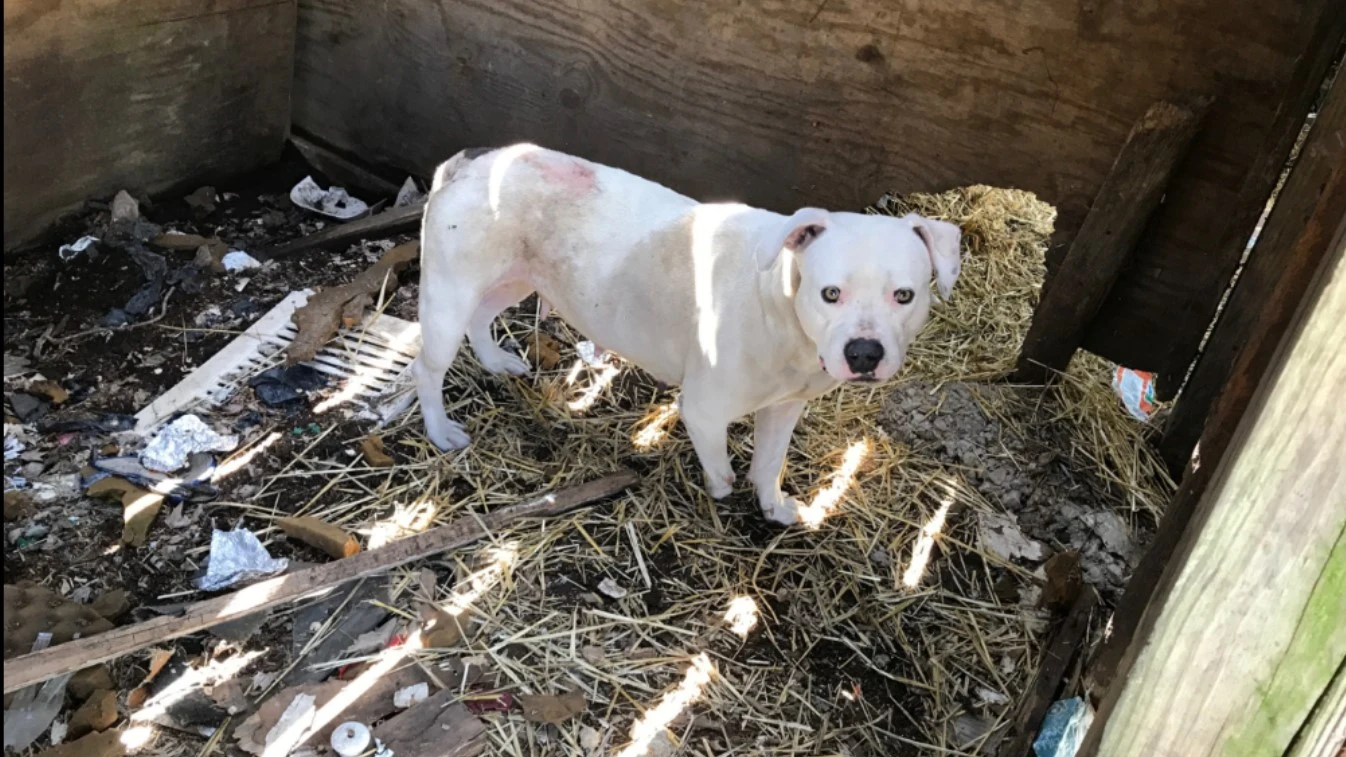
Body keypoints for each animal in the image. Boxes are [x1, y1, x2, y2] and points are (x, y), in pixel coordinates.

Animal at [409, 146, 958, 525]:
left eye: (904, 296)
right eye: (830, 293)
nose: (864, 352)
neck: (779, 310)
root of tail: (470, 161)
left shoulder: (785, 406)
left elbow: (769, 464)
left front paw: (774, 506)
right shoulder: (703, 410)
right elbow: (725, 471)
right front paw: (721, 492)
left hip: (517, 278)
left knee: (481, 318)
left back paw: (495, 361)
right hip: (450, 295)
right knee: (427, 366)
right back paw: (440, 430)